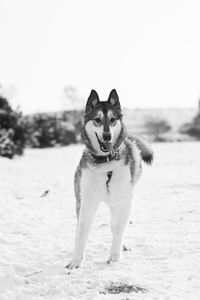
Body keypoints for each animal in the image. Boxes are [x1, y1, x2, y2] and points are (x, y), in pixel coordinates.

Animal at [66, 89, 153, 270]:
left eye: (112, 120)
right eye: (97, 120)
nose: (107, 136)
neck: (106, 163)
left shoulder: (124, 201)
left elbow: (119, 228)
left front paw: (114, 257)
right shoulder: (87, 202)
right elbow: (81, 232)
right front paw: (76, 262)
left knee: (116, 223)